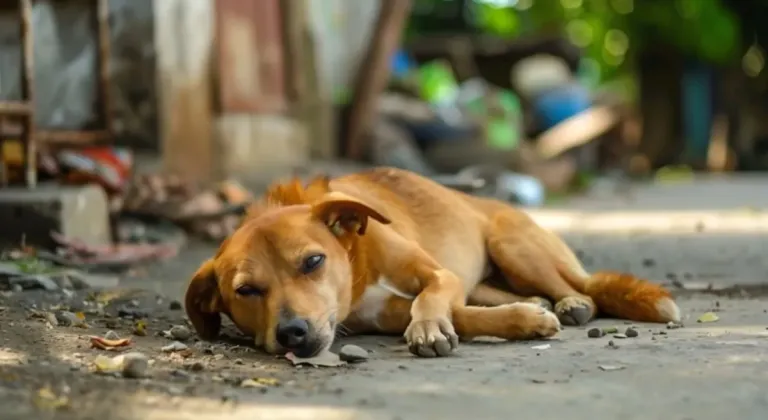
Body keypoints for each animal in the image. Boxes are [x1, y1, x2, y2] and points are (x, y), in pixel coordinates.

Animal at [184, 167, 680, 358]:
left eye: (313, 261)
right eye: (246, 291)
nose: (292, 333)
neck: (358, 264)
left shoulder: (439, 275)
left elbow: (432, 299)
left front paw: (427, 329)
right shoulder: (383, 314)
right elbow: (463, 314)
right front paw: (524, 320)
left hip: (514, 246)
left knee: (580, 288)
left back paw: (571, 303)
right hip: (488, 275)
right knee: (499, 294)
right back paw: (539, 304)